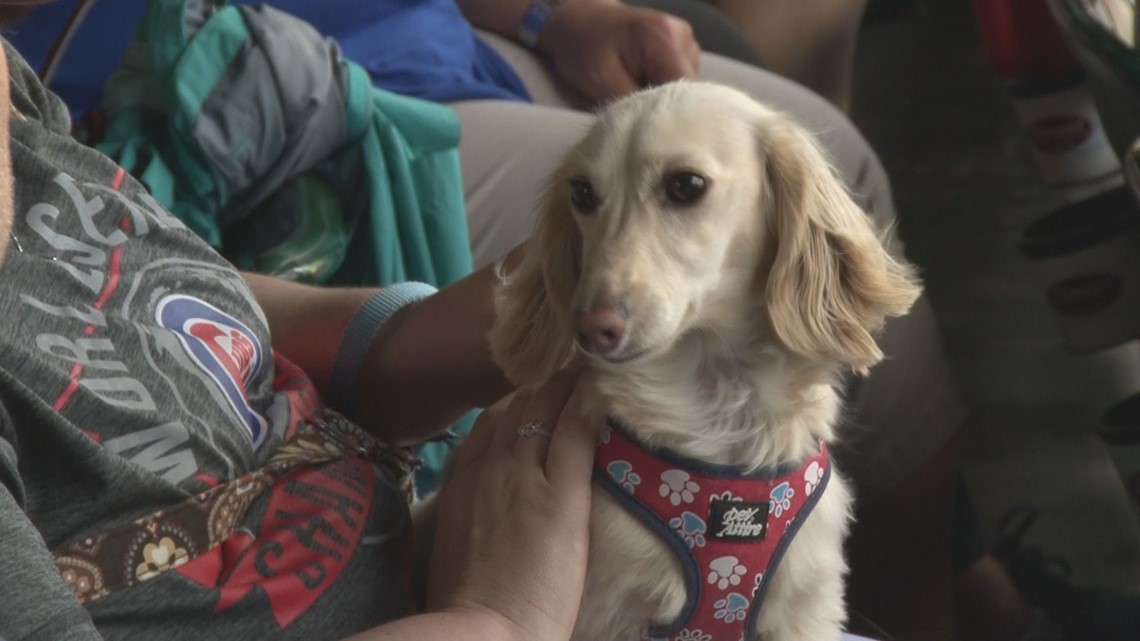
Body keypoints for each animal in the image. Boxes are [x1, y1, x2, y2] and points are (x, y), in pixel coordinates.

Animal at [485, 80, 921, 638]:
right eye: (581, 193)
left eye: (686, 184)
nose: (590, 328)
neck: (719, 408)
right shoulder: (606, 614)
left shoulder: (806, 606)